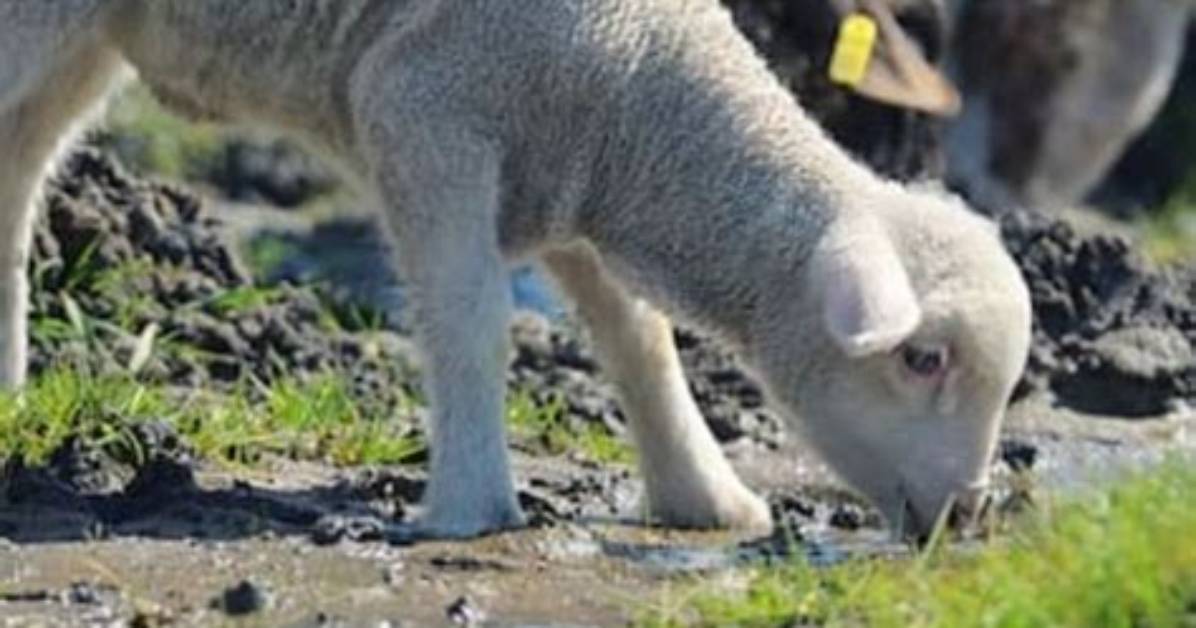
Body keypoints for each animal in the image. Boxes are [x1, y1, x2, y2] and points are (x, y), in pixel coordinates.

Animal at [0, 0, 1031, 540]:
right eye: (922, 361)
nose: (968, 514)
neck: (641, 81)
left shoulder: (566, 175)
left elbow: (639, 343)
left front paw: (704, 497)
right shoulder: (427, 109)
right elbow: (469, 324)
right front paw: (469, 506)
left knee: (16, 176)